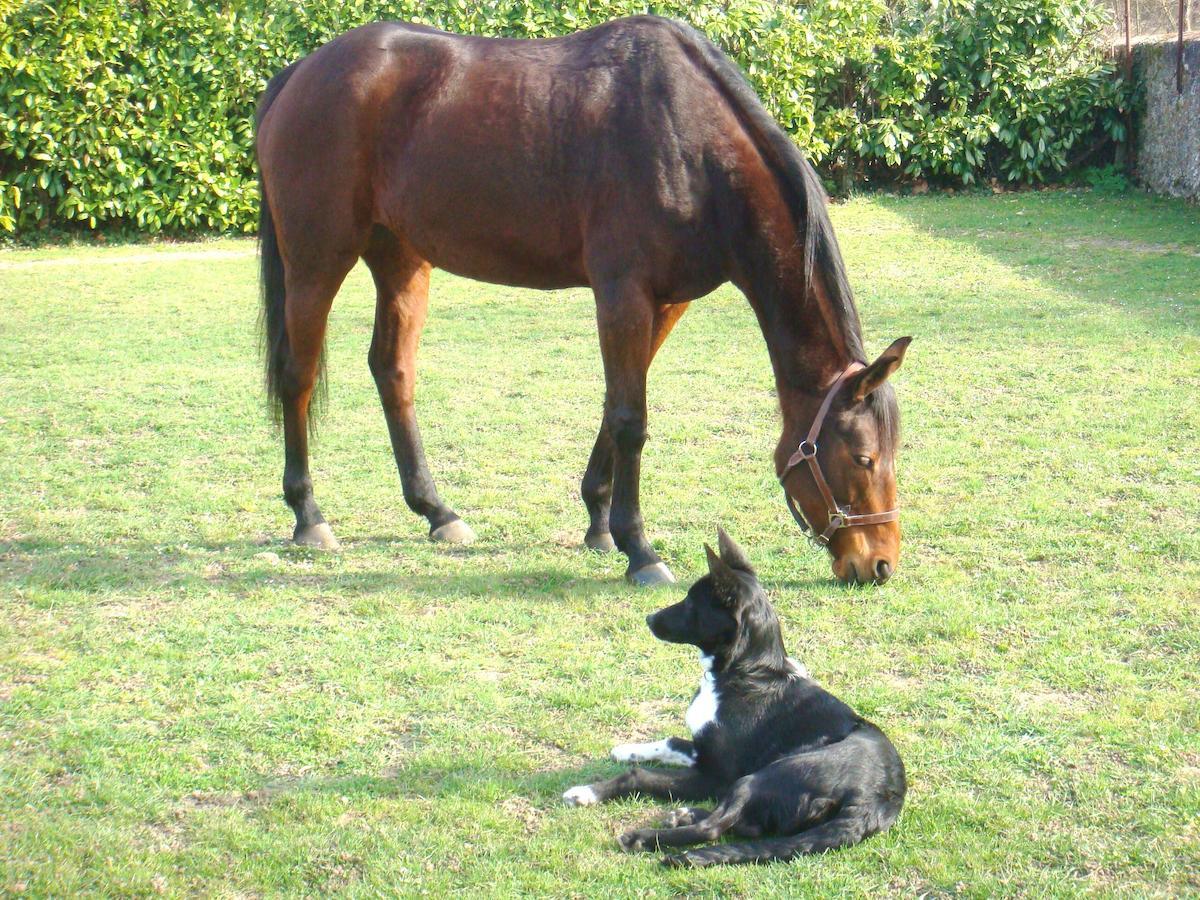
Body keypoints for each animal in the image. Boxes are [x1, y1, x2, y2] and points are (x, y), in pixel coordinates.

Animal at [253, 19, 907, 592]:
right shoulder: (623, 293)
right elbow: (630, 419)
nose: (879, 565)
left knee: (393, 371)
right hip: (316, 261)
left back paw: (437, 511)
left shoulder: (664, 303)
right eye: (864, 457)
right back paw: (309, 516)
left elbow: (616, 405)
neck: (688, 140)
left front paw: (599, 522)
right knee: (298, 376)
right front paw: (639, 549)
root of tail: (301, 72)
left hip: (401, 262)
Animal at [559, 528, 902, 868]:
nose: (649, 618)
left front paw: (587, 791)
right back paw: (683, 815)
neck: (745, 673)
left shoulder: (716, 776)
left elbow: (638, 776)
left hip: (760, 776)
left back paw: (644, 837)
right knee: (741, 824)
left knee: (715, 827)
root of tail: (874, 801)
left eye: (691, 603)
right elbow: (670, 742)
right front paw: (627, 749)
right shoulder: (702, 752)